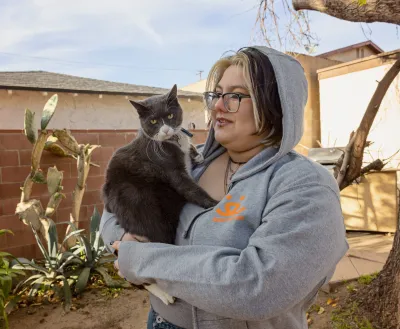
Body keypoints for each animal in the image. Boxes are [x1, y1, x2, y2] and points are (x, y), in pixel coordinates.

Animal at [101, 83, 217, 304]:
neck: (172, 141)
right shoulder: (172, 171)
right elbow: (191, 189)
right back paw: (165, 294)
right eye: (153, 121)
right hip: (143, 207)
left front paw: (197, 154)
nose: (165, 129)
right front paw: (215, 203)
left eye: (170, 115)